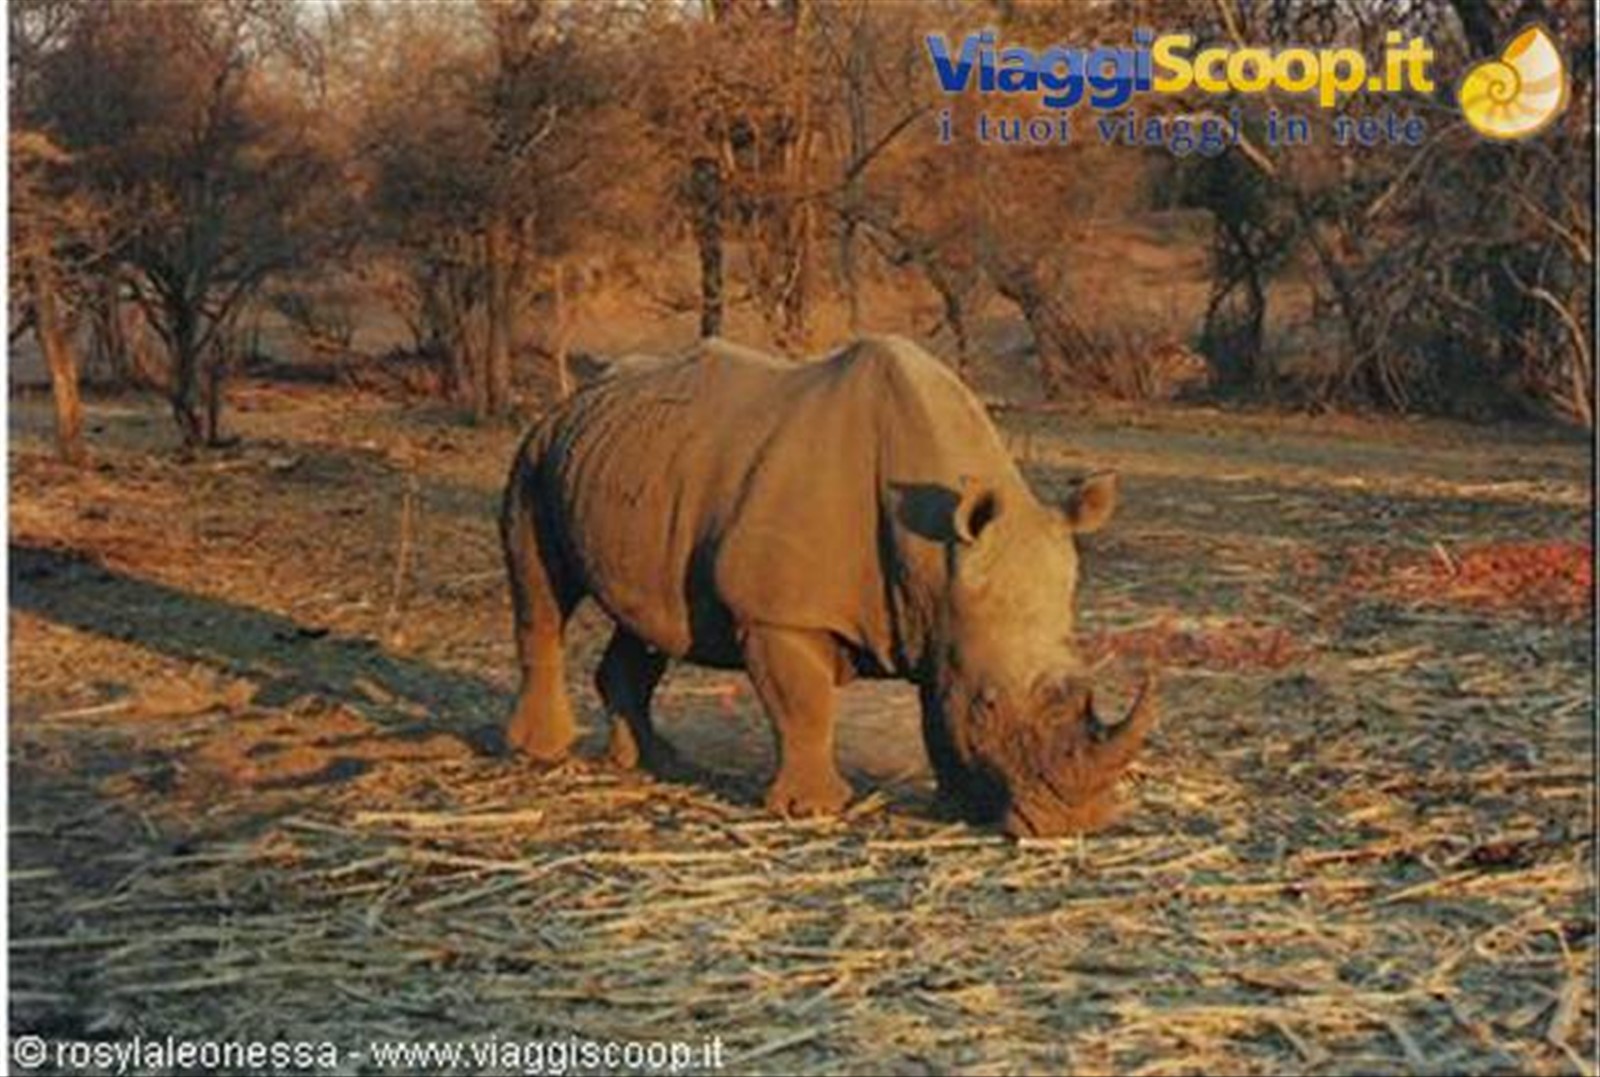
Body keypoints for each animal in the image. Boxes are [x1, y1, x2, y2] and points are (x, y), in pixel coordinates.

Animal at [500, 335, 1155, 836]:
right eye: (990, 704)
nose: (1075, 822)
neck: (934, 556)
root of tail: (574, 398)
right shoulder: (779, 613)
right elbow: (805, 707)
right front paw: (814, 810)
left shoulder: (942, 621)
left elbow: (936, 713)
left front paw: (957, 807)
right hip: (536, 452)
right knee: (543, 595)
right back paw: (543, 752)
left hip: (627, 468)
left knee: (647, 622)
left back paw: (657, 761)